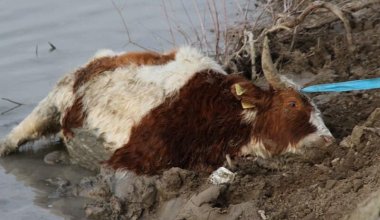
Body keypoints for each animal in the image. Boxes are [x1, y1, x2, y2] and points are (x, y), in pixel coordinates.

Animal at [0, 37, 332, 175]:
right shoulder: (131, 157)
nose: (328, 141)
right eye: (292, 103)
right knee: (16, 136)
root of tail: (96, 61)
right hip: (50, 104)